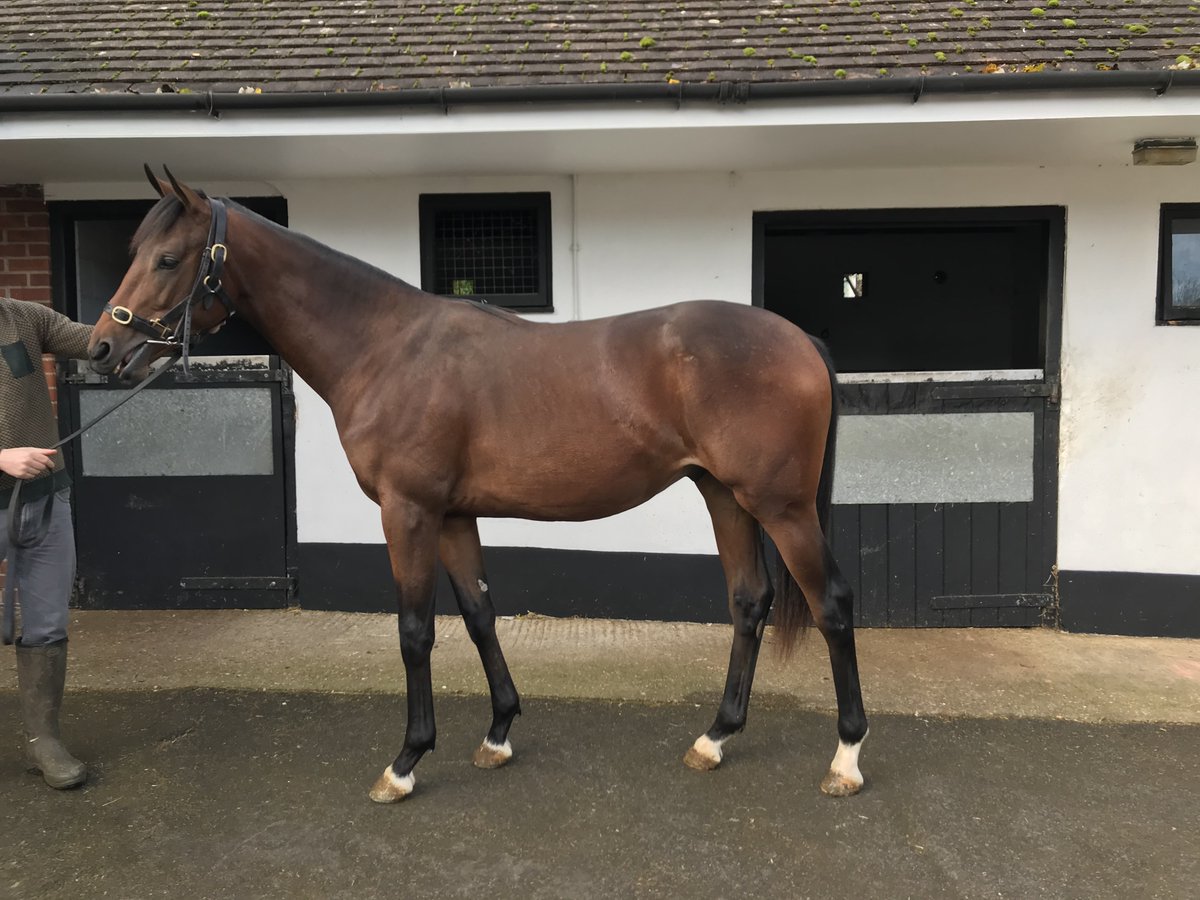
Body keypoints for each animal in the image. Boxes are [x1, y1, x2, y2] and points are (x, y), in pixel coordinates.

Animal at [87, 167, 869, 803]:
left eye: (167, 258)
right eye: (134, 253)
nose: (102, 349)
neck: (384, 347)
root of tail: (800, 340)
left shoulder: (407, 512)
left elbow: (414, 631)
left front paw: (405, 762)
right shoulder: (454, 516)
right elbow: (479, 613)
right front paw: (497, 734)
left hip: (782, 507)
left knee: (830, 604)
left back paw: (846, 757)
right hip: (723, 495)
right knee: (749, 601)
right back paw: (715, 738)